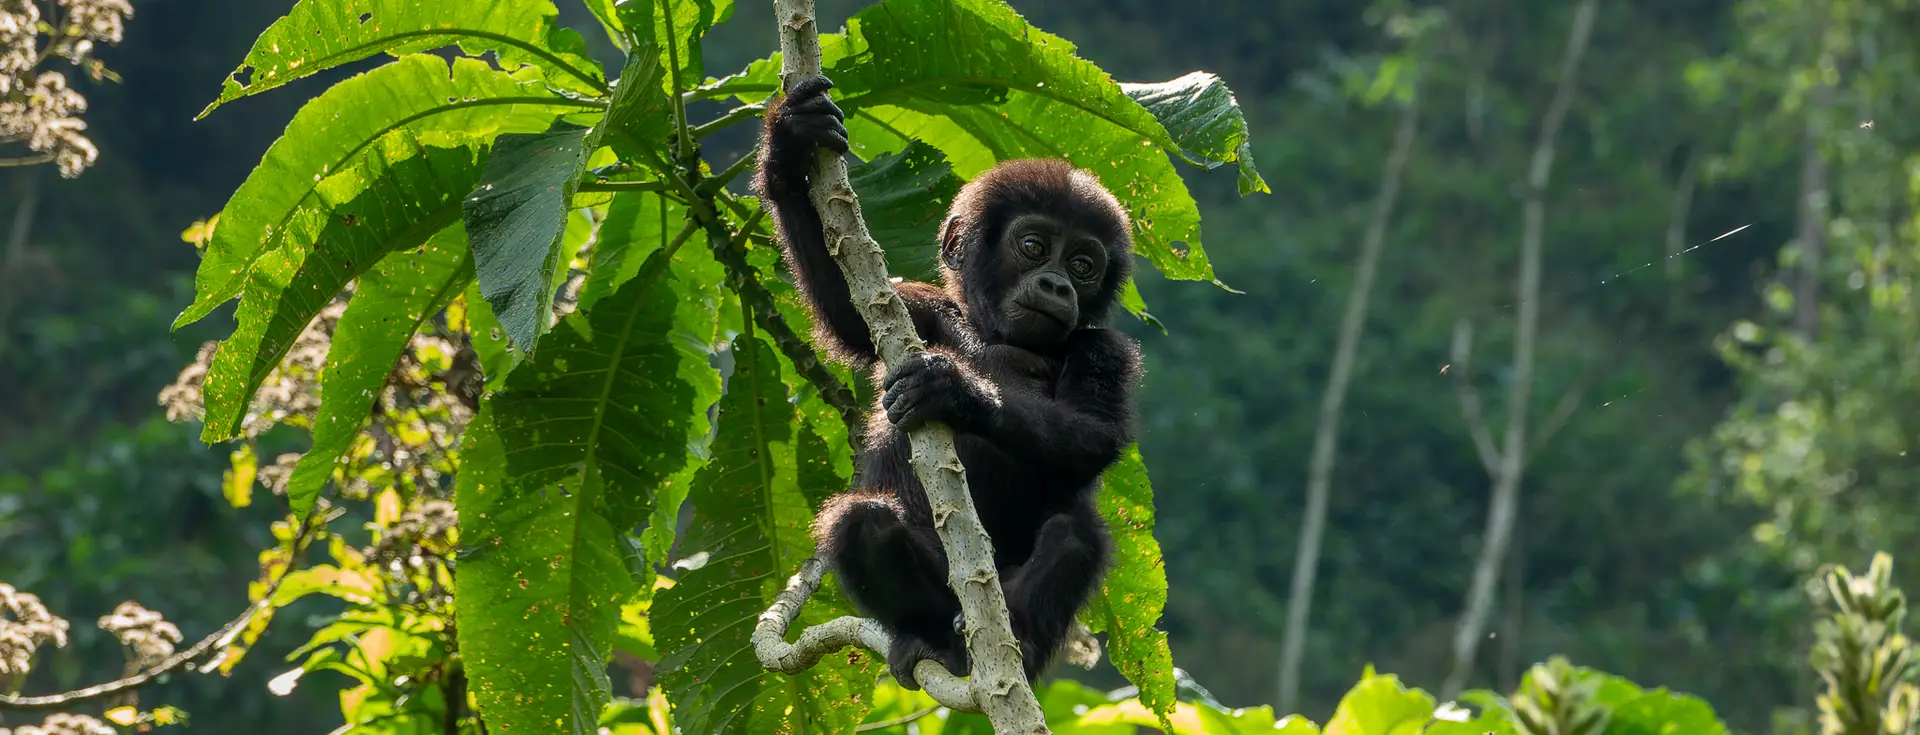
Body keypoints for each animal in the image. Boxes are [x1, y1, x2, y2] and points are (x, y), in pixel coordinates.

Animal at [756, 74, 1141, 689]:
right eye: (1033, 247)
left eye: (1084, 264)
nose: (1058, 285)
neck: (998, 334)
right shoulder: (922, 308)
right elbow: (846, 307)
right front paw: (790, 146)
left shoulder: (1109, 351)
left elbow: (1093, 434)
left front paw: (956, 391)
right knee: (862, 524)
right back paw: (933, 637)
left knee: (1074, 533)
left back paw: (1015, 645)